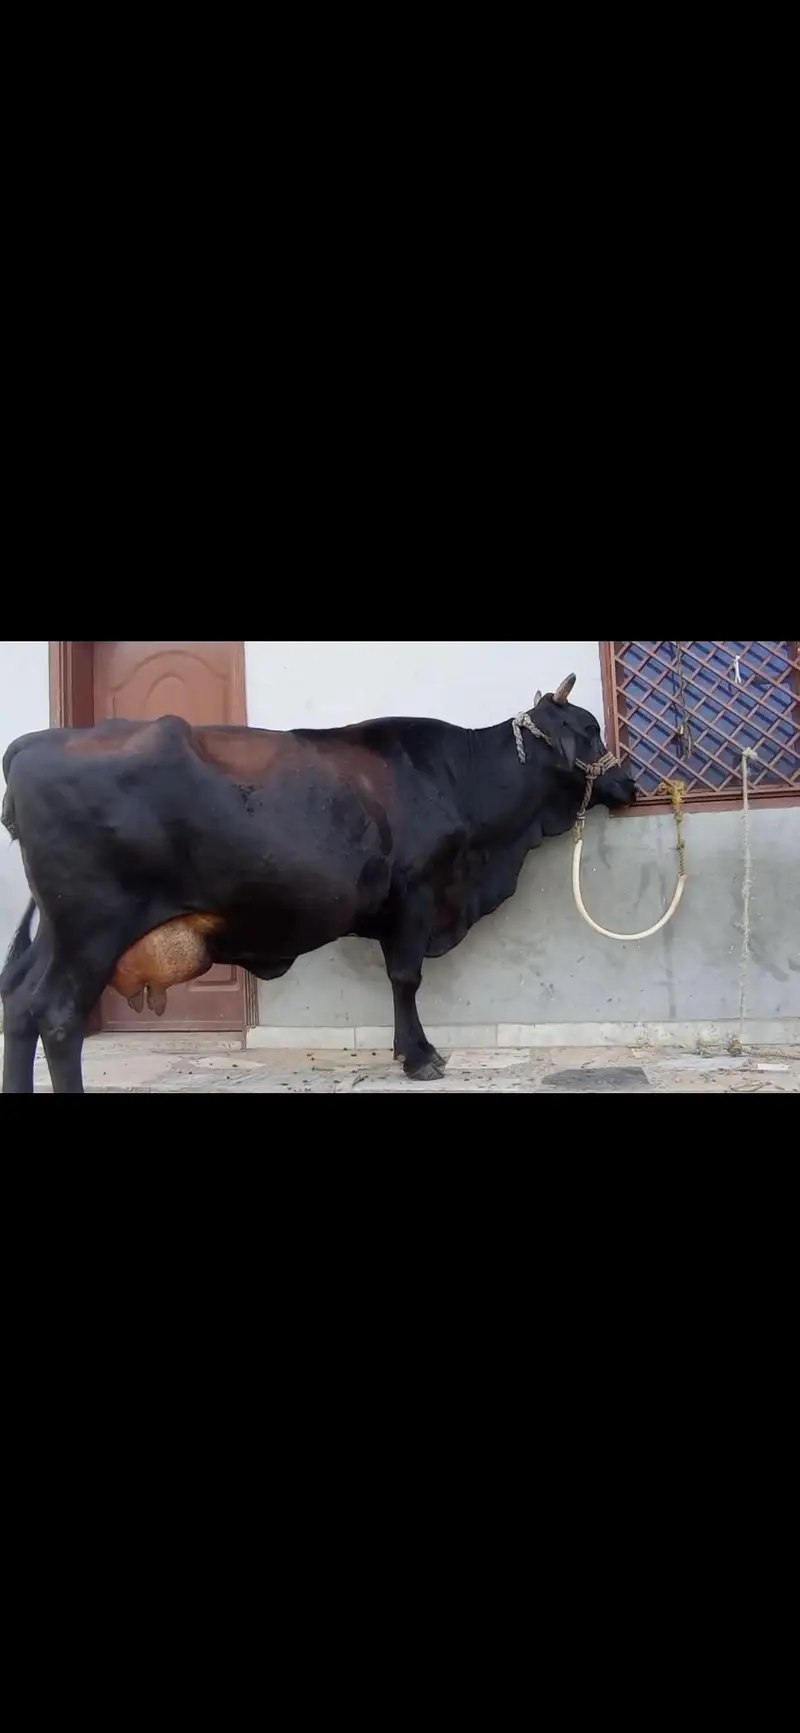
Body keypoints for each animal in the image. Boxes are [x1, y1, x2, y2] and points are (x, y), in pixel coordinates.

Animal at [1, 673, 636, 1092]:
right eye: (589, 728)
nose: (630, 784)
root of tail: (32, 744)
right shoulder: (416, 895)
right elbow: (405, 979)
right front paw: (420, 1056)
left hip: (58, 930)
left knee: (20, 1004)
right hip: (92, 926)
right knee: (57, 1015)